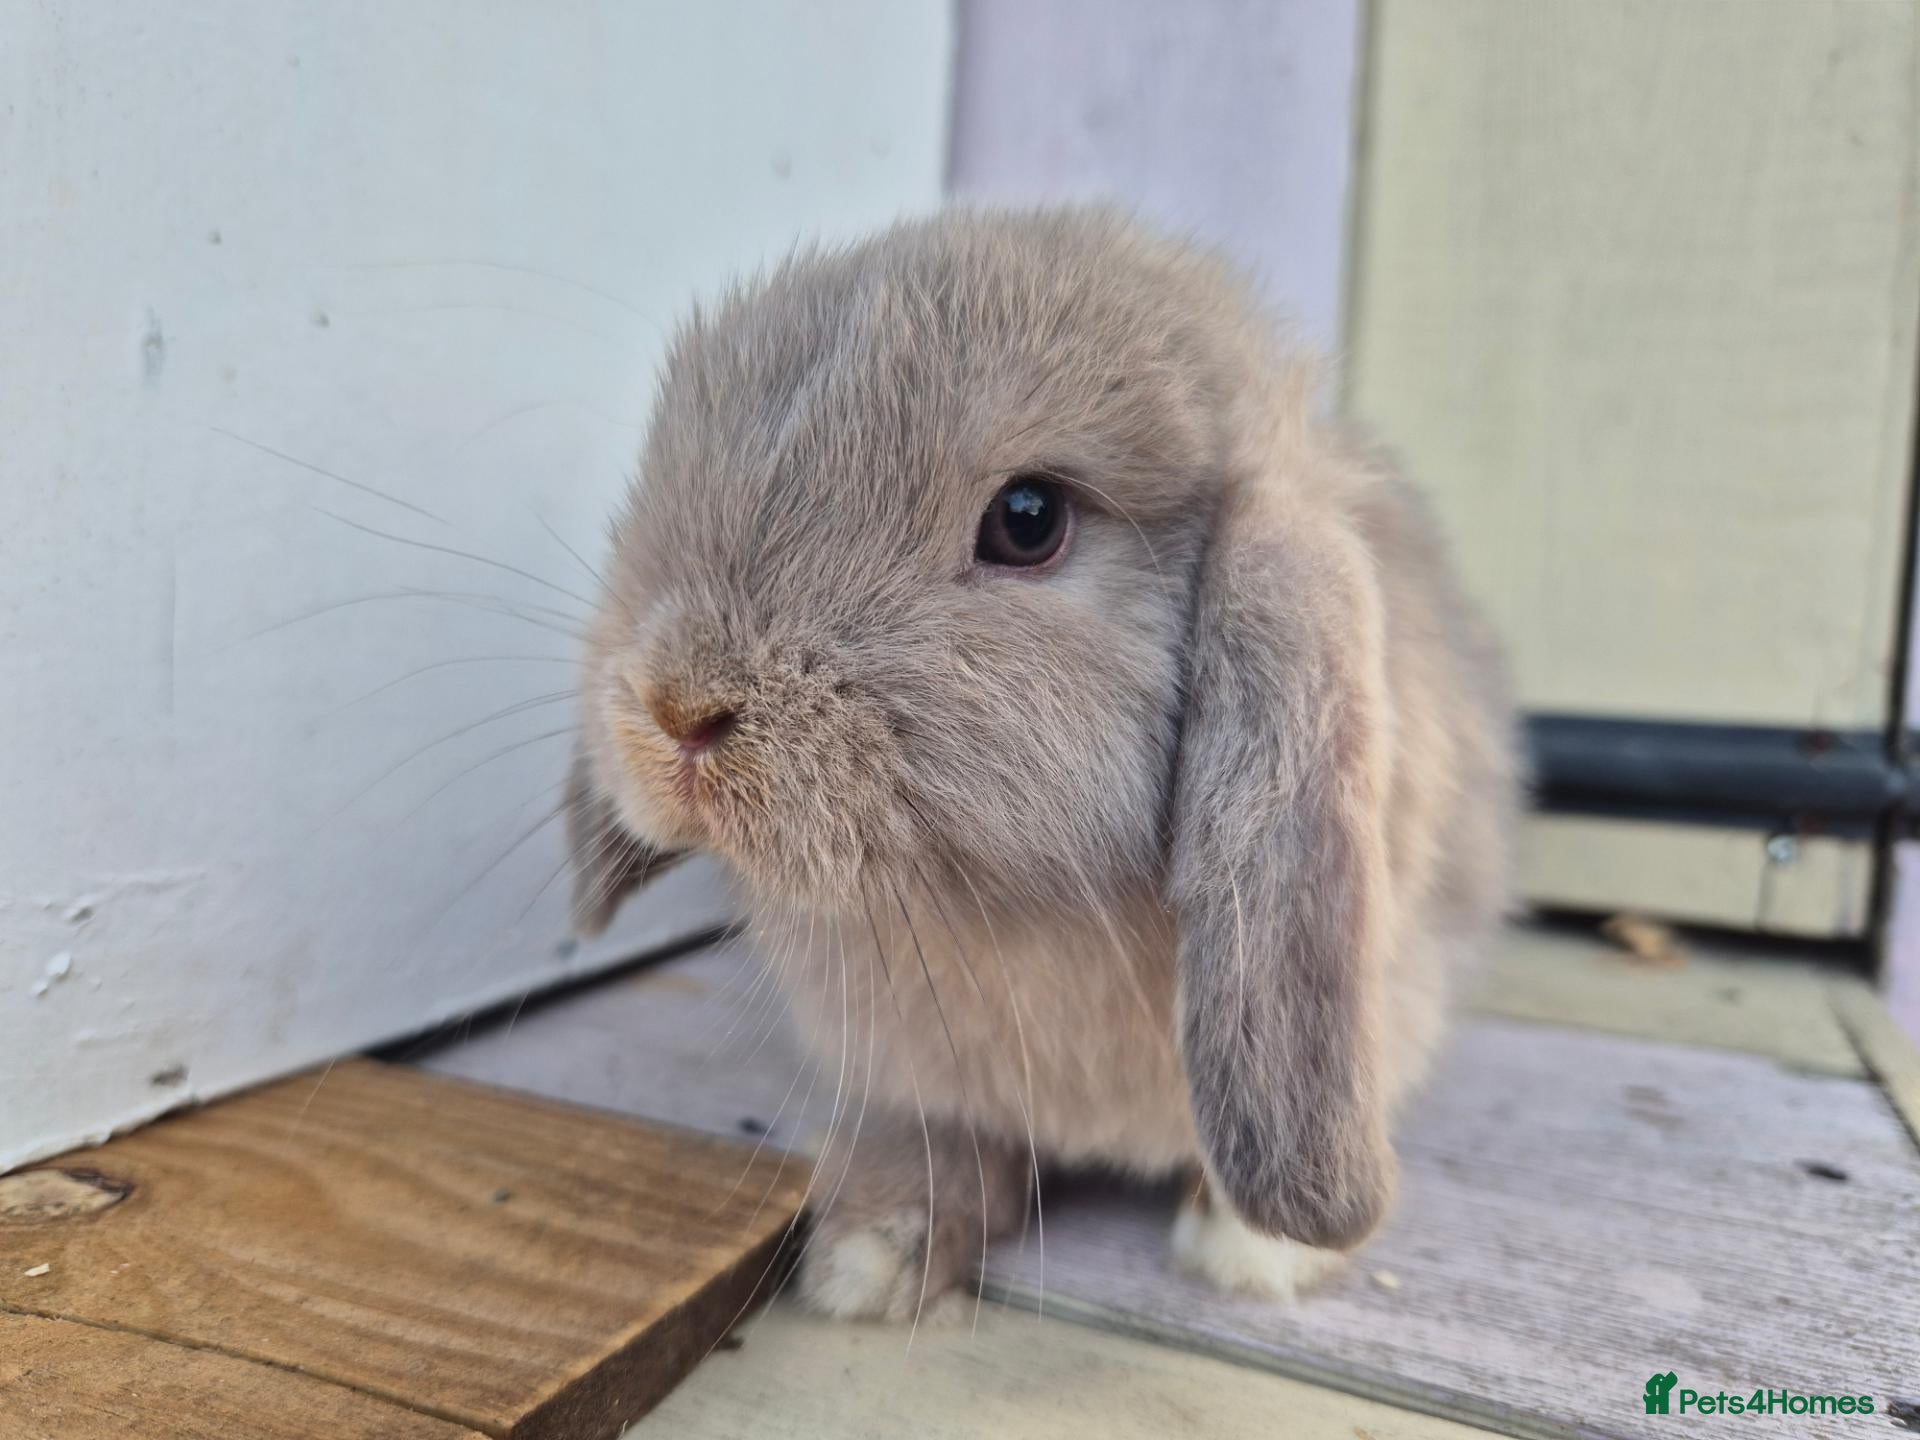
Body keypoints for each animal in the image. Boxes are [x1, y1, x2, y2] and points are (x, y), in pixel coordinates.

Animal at [565, 206, 1518, 1318]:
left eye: (1028, 521)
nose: (676, 709)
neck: (1007, 917)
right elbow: (946, 1144)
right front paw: (875, 1250)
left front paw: (1253, 1251)